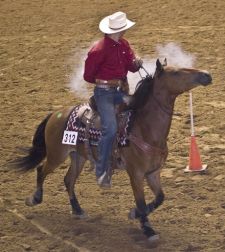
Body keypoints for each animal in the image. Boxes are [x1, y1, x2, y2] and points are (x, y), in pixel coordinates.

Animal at [10, 59, 211, 242]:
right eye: (176, 73)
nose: (206, 74)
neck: (145, 129)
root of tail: (55, 114)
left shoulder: (153, 173)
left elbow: (160, 197)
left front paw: (134, 214)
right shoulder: (136, 174)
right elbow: (141, 202)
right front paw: (147, 229)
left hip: (78, 157)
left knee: (68, 180)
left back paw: (77, 209)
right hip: (56, 155)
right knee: (41, 170)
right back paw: (34, 199)